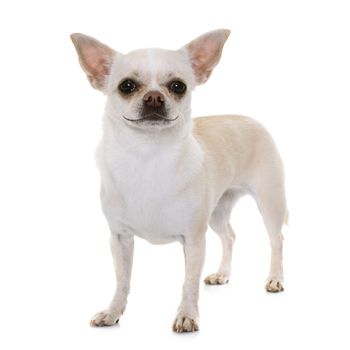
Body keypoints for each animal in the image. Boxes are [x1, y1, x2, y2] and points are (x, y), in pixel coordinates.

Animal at [70, 28, 288, 332]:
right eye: (127, 86)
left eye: (178, 86)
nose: (153, 97)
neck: (149, 157)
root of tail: (248, 119)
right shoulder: (120, 238)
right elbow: (122, 280)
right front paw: (113, 312)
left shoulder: (194, 239)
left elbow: (189, 282)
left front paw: (187, 315)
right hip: (217, 212)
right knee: (230, 236)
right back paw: (222, 273)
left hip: (270, 202)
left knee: (276, 239)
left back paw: (275, 278)